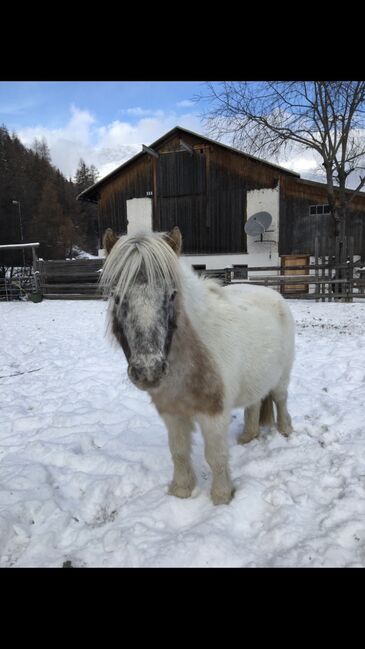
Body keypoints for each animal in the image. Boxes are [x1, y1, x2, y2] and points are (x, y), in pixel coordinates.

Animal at [101, 228, 294, 506]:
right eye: (116, 297)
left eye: (172, 295)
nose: (149, 371)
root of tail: (274, 295)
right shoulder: (172, 413)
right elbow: (179, 451)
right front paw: (181, 490)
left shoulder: (214, 414)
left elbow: (216, 456)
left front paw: (222, 497)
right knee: (254, 403)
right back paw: (247, 437)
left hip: (282, 377)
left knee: (280, 400)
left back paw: (286, 431)